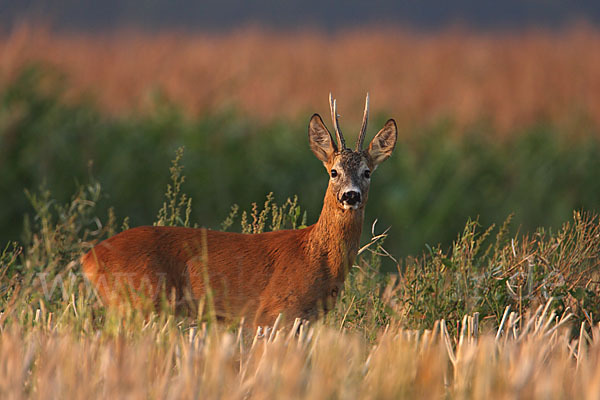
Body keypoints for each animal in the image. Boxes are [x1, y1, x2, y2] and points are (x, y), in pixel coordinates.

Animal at [81, 94, 398, 328]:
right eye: (333, 172)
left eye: (367, 172)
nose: (350, 195)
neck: (314, 255)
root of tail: (89, 258)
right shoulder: (272, 313)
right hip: (137, 301)